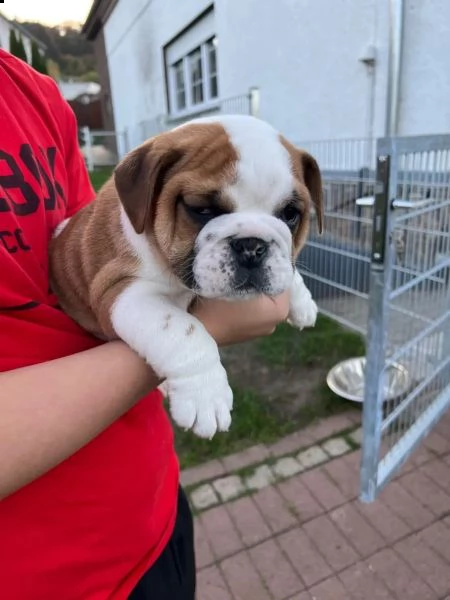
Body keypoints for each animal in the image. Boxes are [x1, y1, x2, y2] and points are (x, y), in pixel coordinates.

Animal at [50, 115, 324, 438]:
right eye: (201, 209)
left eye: (290, 214)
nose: (252, 246)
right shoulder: (123, 292)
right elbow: (183, 330)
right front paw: (206, 395)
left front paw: (302, 300)